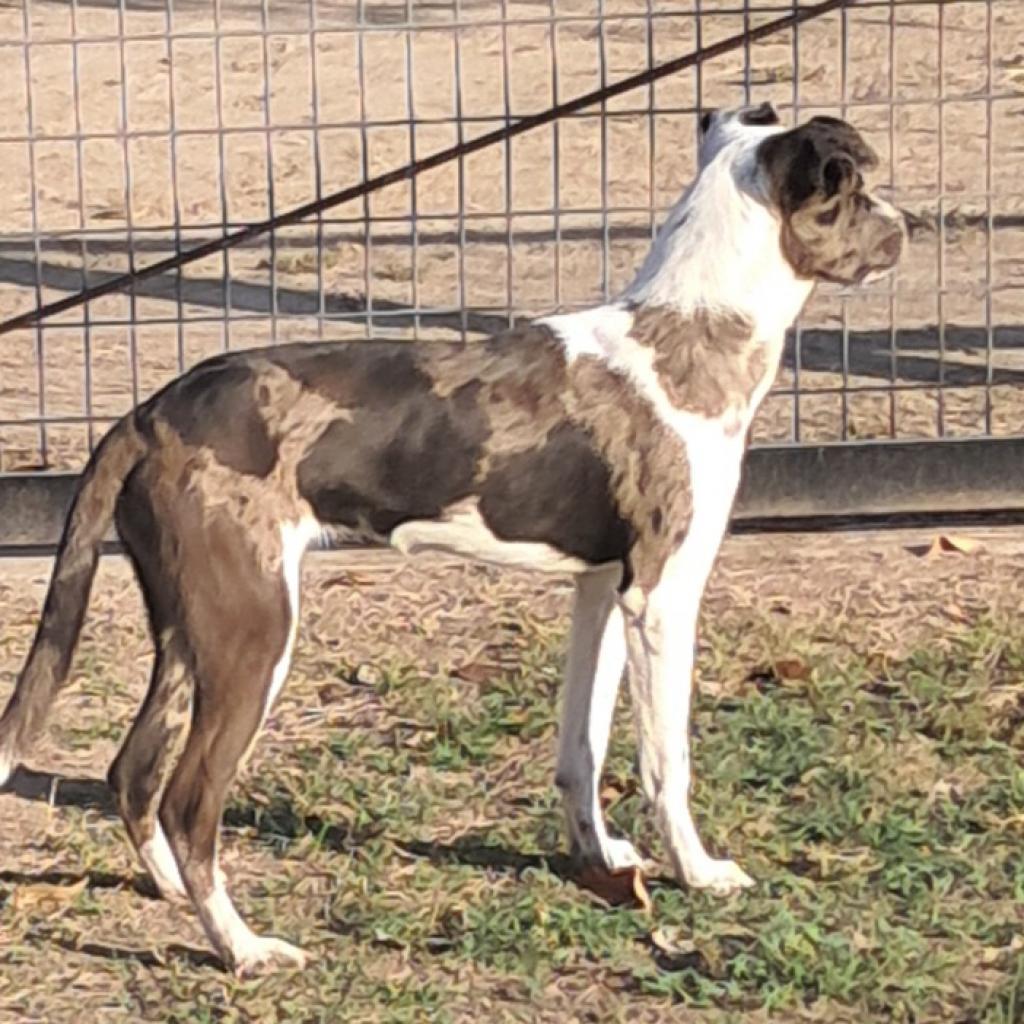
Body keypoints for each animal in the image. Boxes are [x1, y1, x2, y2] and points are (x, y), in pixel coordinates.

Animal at [0, 103, 905, 974]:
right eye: (855, 189)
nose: (910, 226)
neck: (685, 337)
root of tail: (149, 412)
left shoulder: (600, 591)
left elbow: (582, 748)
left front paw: (601, 860)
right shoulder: (662, 596)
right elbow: (664, 763)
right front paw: (700, 872)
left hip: (192, 635)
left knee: (132, 774)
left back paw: (172, 894)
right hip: (253, 637)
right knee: (189, 802)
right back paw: (243, 949)